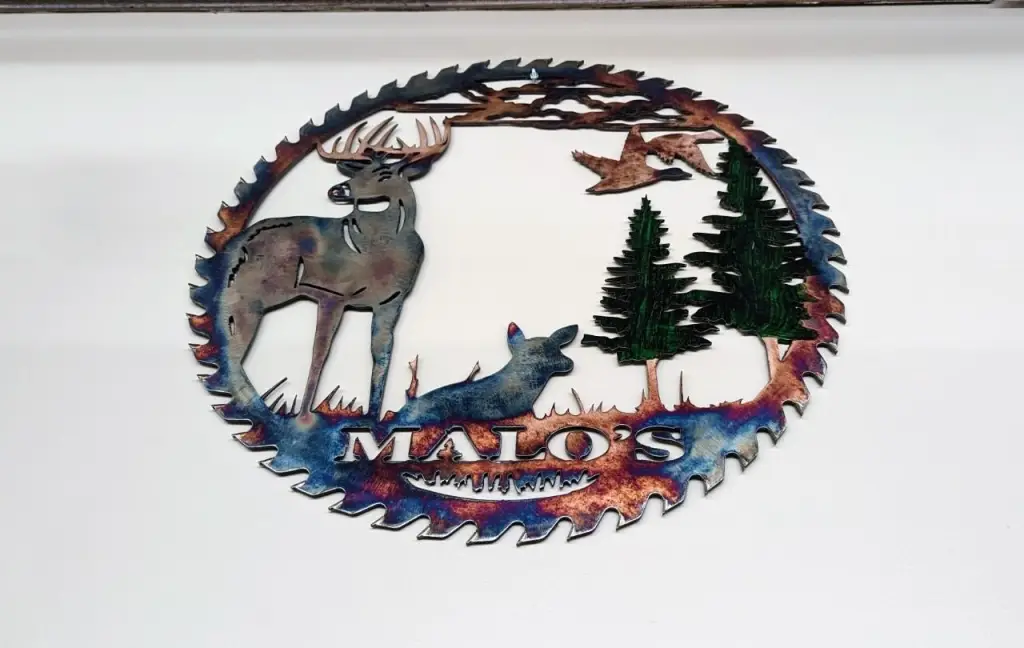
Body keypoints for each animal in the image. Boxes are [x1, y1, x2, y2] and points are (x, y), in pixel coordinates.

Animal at [218, 116, 451, 420]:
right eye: (357, 172)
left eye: (384, 174)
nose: (338, 190)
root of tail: (236, 245)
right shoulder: (332, 293)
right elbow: (320, 353)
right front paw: (305, 417)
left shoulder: (392, 299)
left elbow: (381, 353)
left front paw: (372, 417)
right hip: (251, 294)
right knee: (233, 348)